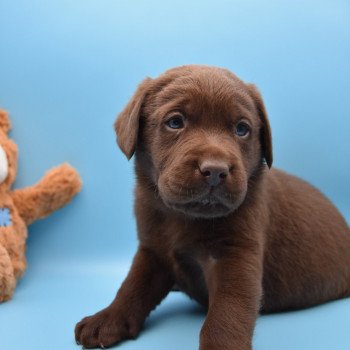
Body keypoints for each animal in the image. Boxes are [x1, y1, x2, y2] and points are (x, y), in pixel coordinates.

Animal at [74, 65, 350, 348]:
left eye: (242, 129)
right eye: (175, 122)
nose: (216, 170)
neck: (183, 216)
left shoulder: (236, 255)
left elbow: (227, 312)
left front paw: (222, 345)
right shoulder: (153, 249)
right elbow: (133, 285)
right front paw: (107, 318)